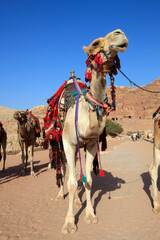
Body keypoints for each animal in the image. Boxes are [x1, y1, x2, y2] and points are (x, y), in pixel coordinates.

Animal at [60, 29, 128, 233]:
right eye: (95, 43)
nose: (120, 33)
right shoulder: (68, 143)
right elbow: (72, 182)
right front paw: (69, 223)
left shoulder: (90, 143)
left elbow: (88, 180)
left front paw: (90, 214)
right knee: (65, 170)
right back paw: (60, 196)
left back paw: (77, 202)